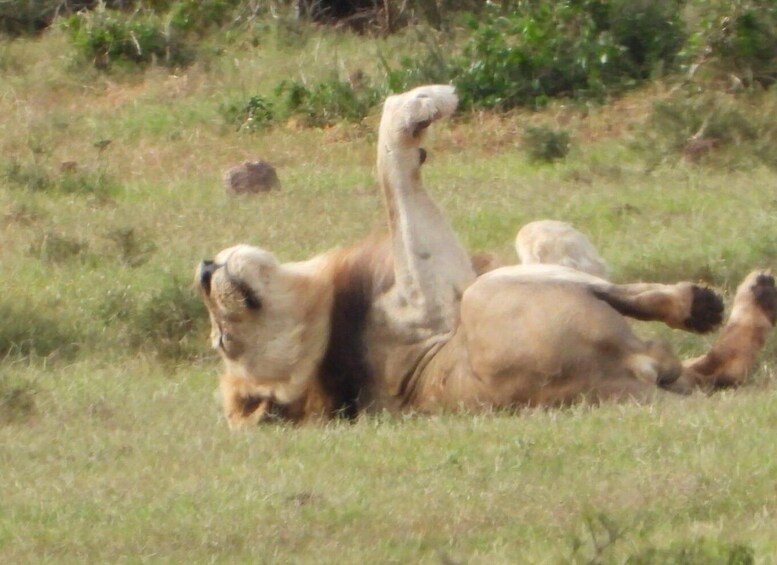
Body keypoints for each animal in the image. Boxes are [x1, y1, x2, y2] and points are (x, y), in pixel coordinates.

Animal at [196, 85, 777, 428]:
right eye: (225, 340)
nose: (203, 271)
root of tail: (617, 382)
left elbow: (535, 233)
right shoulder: (437, 291)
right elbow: (394, 176)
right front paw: (424, 102)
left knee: (720, 364)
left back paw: (751, 296)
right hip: (491, 296)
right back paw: (724, 297)